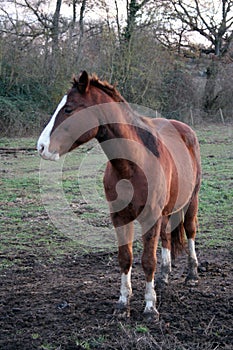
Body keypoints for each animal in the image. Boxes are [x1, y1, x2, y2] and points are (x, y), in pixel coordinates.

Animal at [37, 70, 201, 320]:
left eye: (69, 109)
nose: (42, 147)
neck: (132, 164)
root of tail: (185, 129)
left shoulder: (150, 217)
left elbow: (148, 261)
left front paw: (150, 308)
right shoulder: (120, 217)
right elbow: (126, 258)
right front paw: (123, 303)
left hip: (192, 200)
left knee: (190, 230)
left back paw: (192, 274)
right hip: (166, 211)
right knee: (166, 236)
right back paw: (164, 276)